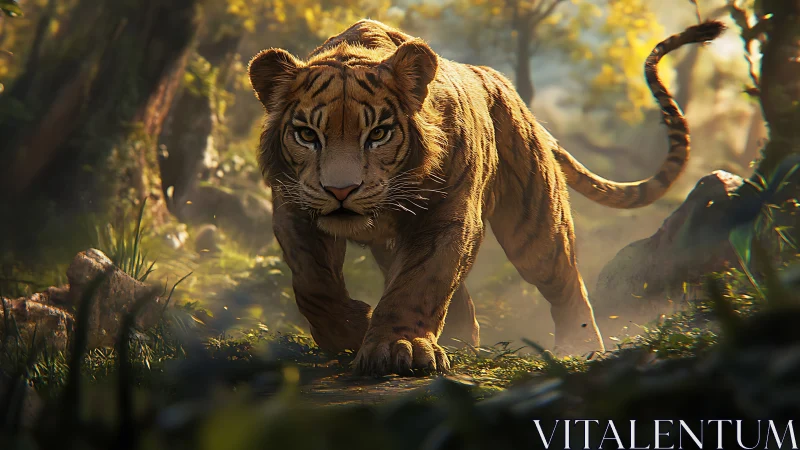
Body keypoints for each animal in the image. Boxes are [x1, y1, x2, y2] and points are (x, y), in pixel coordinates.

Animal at [247, 19, 725, 375]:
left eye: (378, 133)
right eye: (307, 134)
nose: (341, 191)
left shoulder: (448, 214)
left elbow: (421, 283)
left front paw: (398, 346)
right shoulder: (294, 209)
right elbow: (315, 286)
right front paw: (353, 330)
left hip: (535, 226)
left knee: (566, 285)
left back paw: (580, 347)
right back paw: (461, 341)